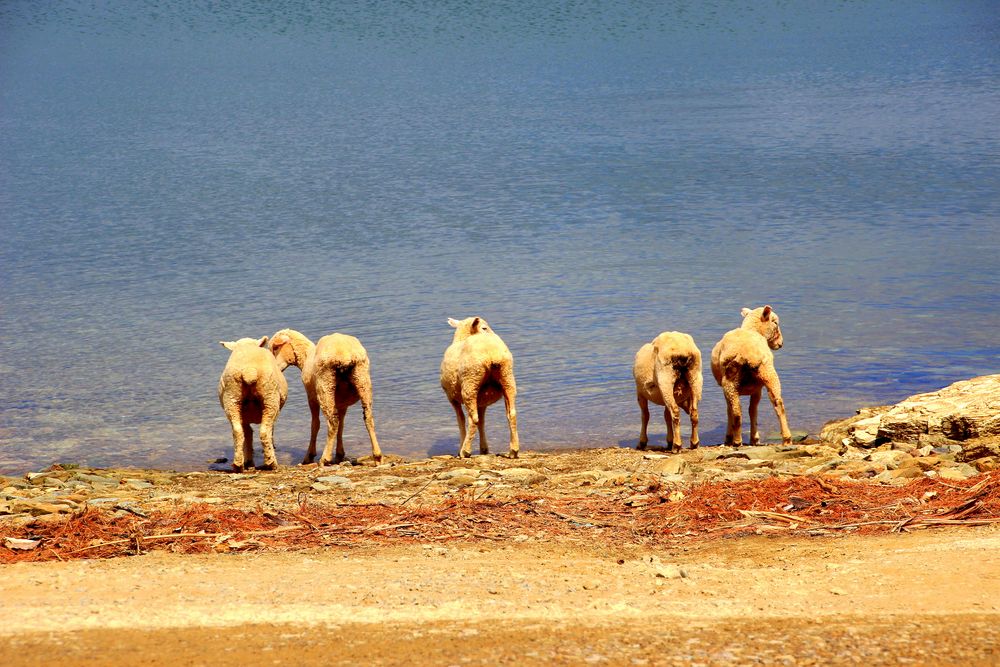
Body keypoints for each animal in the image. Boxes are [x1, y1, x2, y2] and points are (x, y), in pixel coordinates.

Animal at [215, 336, 286, 472]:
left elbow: (248, 433)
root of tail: (249, 371)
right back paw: (271, 463)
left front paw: (248, 462)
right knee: (265, 431)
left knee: (238, 431)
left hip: (232, 398)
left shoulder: (244, 415)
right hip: (270, 398)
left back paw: (238, 465)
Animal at [268, 328, 380, 464]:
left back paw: (324, 459)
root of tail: (345, 355)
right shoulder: (342, 403)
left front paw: (309, 456)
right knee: (368, 418)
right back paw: (377, 456)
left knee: (332, 422)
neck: (306, 356)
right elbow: (342, 424)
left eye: (275, 348)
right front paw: (339, 454)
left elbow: (315, 424)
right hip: (363, 380)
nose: (274, 369)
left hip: (325, 385)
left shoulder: (311, 397)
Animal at [440, 318, 520, 460]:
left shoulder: (452, 398)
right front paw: (484, 448)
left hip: (470, 383)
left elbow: (461, 420)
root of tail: (492, 353)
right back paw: (513, 450)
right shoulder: (482, 401)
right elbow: (483, 422)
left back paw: (465, 451)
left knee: (473, 419)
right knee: (512, 414)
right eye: (484, 328)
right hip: (507, 378)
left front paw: (461, 448)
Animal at [708, 306, 792, 446]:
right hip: (769, 373)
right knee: (778, 404)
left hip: (731, 382)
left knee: (736, 410)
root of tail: (746, 354)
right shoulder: (757, 388)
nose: (781, 343)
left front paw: (731, 437)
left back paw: (737, 440)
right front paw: (754, 438)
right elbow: (752, 410)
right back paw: (787, 438)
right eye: (775, 323)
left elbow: (733, 410)